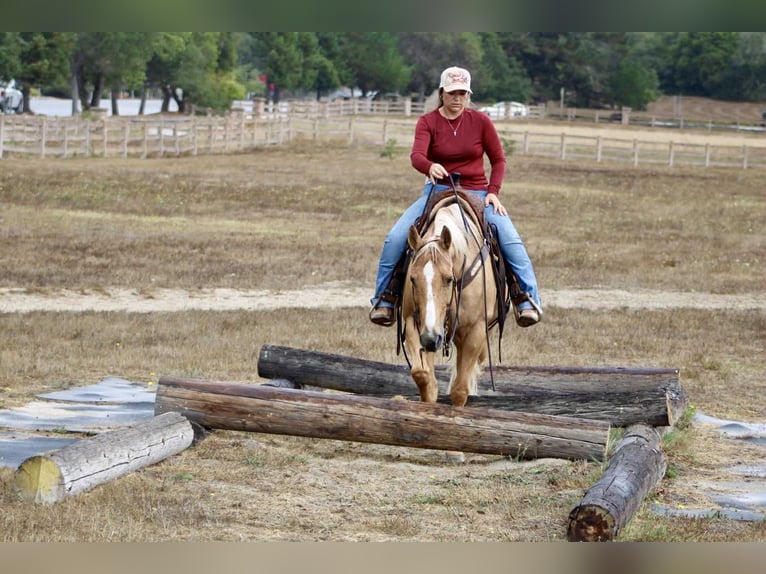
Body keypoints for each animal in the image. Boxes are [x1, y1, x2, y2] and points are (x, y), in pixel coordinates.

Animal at [400, 191, 501, 462]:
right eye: (412, 278)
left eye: (448, 279)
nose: (431, 339)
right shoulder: (414, 324)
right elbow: (423, 375)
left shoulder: (475, 332)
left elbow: (459, 390)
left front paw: (455, 449)